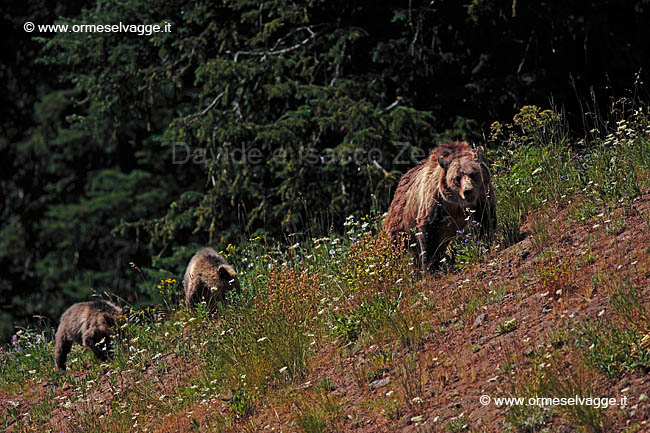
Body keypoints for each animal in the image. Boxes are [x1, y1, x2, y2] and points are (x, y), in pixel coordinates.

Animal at [382, 141, 494, 270]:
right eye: (457, 178)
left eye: (472, 174)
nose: (468, 191)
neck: (457, 204)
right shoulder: (435, 202)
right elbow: (428, 231)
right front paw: (430, 266)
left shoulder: (481, 198)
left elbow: (485, 221)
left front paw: (486, 244)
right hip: (400, 222)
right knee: (395, 247)